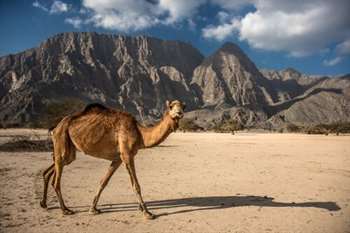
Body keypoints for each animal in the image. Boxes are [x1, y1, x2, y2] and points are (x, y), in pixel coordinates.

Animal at [39, 99, 186, 218]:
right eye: (171, 107)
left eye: (183, 106)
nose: (179, 113)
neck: (140, 134)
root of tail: (56, 127)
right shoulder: (127, 155)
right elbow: (136, 185)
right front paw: (147, 212)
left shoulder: (118, 159)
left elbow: (103, 182)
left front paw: (93, 209)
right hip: (62, 140)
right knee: (56, 179)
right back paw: (65, 210)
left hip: (69, 150)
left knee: (52, 168)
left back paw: (44, 203)